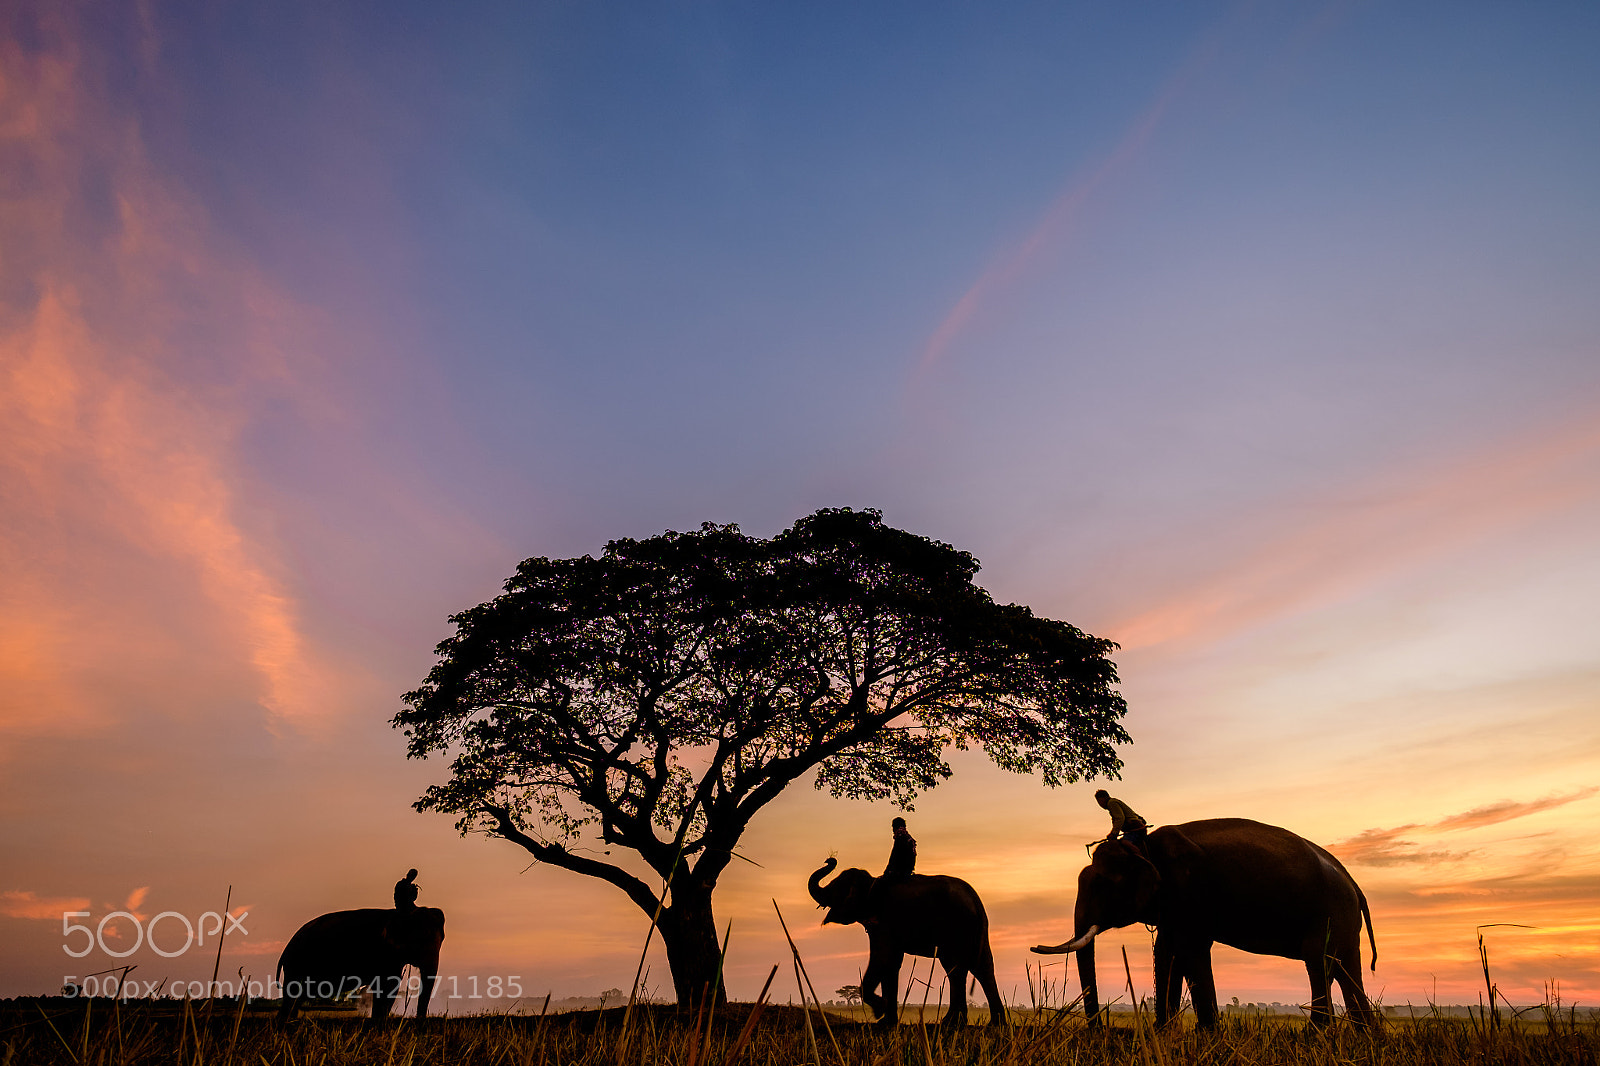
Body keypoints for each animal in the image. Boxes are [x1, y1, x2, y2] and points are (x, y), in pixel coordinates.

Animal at [276, 906, 445, 1023]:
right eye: (419, 941)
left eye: (442, 939)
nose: (419, 1020)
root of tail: (287, 946)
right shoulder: (382, 952)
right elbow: (386, 985)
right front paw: (377, 1021)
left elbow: (392, 986)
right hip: (295, 961)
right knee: (292, 990)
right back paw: (284, 1022)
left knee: (303, 993)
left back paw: (291, 1019)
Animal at [808, 857, 1005, 1027]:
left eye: (834, 887)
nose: (830, 860)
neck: (872, 882)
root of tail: (975, 899)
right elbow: (891, 963)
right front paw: (886, 1022)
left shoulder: (884, 923)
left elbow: (882, 958)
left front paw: (880, 1011)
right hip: (972, 930)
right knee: (978, 968)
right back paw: (986, 1023)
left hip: (956, 927)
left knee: (958, 968)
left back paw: (954, 1023)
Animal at [1031, 818, 1377, 1030]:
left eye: (1103, 886)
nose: (1100, 1030)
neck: (1144, 847)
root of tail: (1354, 884)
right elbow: (1166, 953)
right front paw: (1163, 1033)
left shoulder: (1189, 890)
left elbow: (1189, 949)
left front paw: (1208, 1035)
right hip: (1343, 920)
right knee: (1346, 970)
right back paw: (1367, 1037)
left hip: (1329, 913)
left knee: (1319, 964)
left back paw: (1316, 1035)